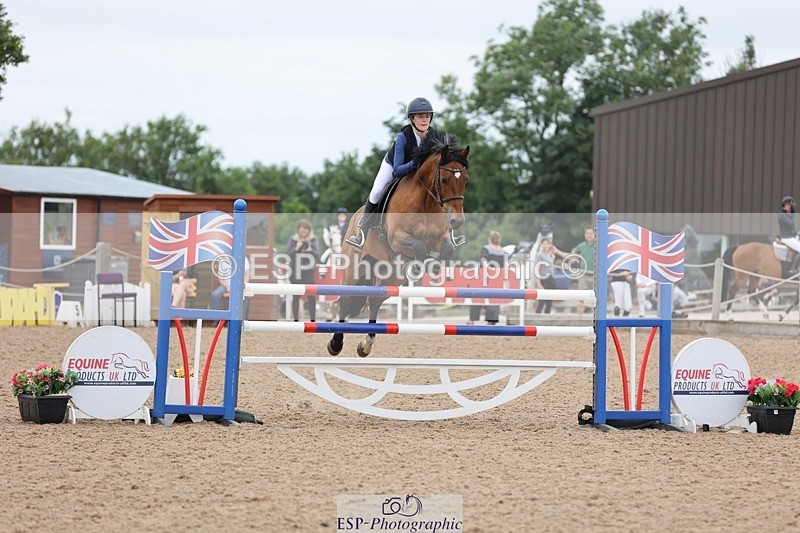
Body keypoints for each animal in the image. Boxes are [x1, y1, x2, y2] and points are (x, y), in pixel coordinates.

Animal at [328, 130, 470, 357]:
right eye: (445, 179)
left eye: (465, 180)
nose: (457, 221)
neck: (425, 203)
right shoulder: (397, 238)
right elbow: (419, 247)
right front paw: (422, 264)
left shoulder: (441, 237)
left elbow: (446, 250)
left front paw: (433, 266)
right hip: (353, 269)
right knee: (346, 299)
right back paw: (336, 343)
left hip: (392, 278)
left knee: (375, 299)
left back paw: (366, 344)